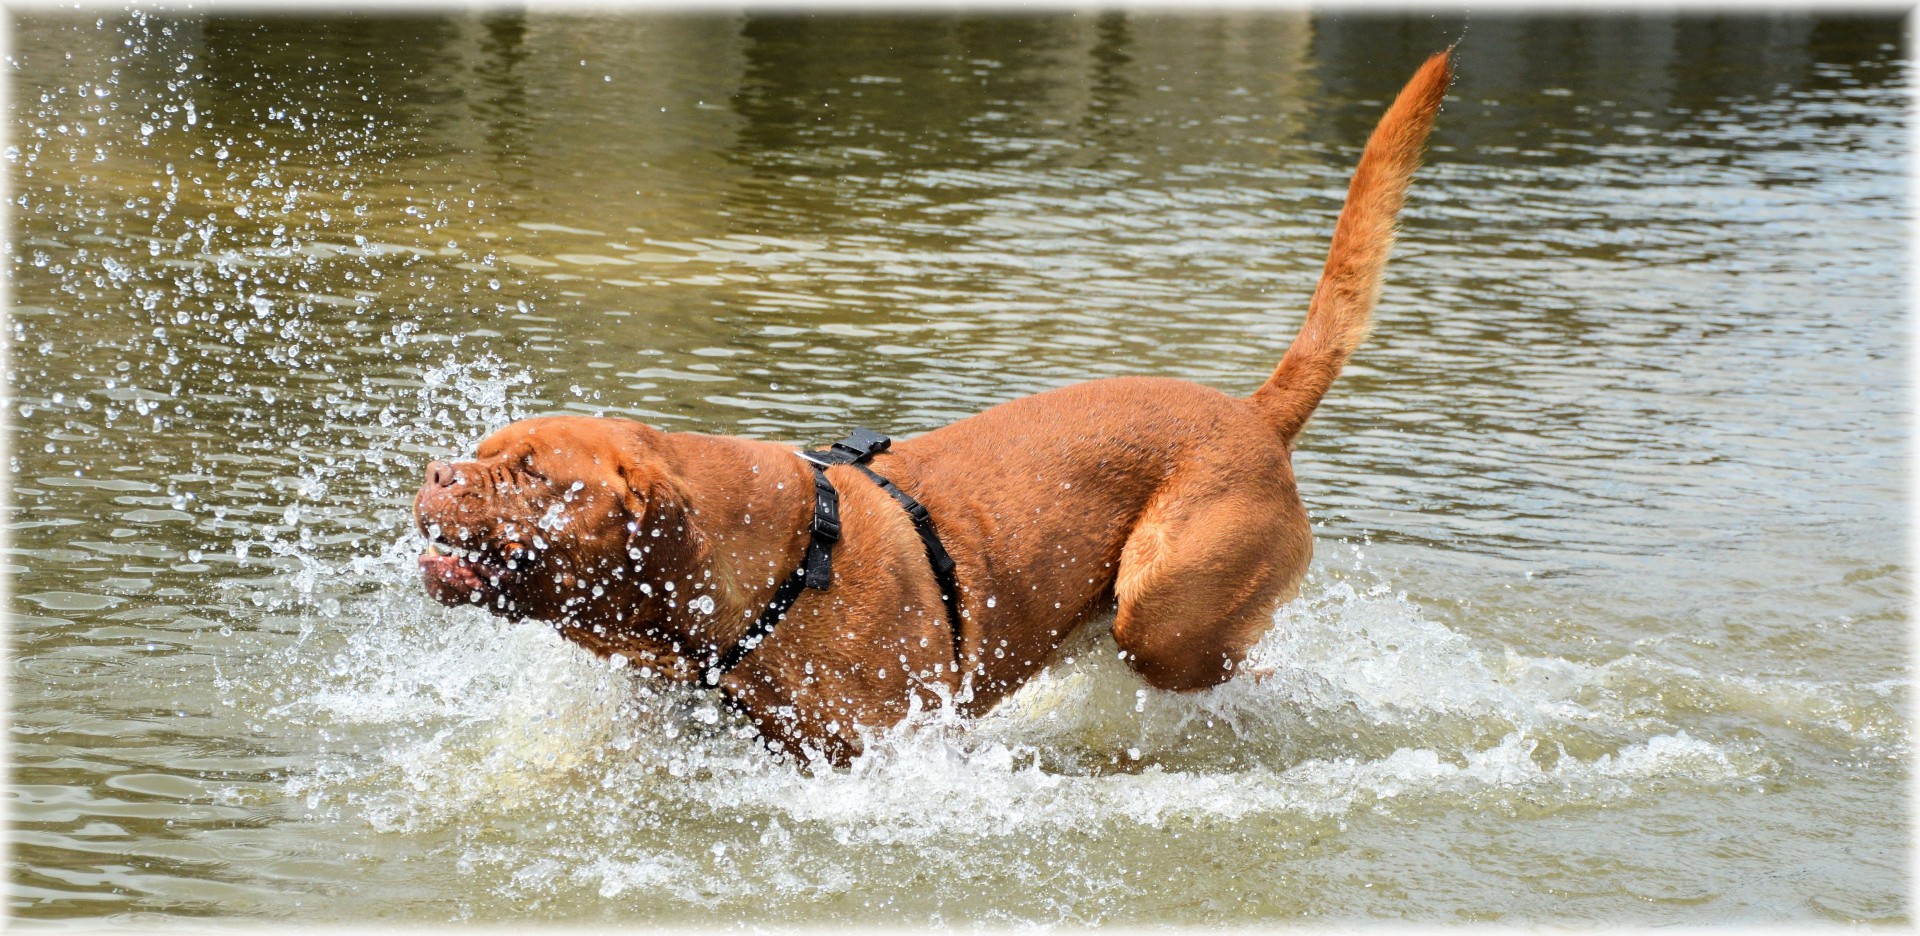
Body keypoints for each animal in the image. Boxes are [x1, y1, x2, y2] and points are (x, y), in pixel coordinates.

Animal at [412, 51, 1443, 763]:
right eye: (480, 450)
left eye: (532, 474)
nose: (434, 473)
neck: (759, 573)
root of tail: (1254, 413)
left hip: (1167, 618)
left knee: (1242, 672)